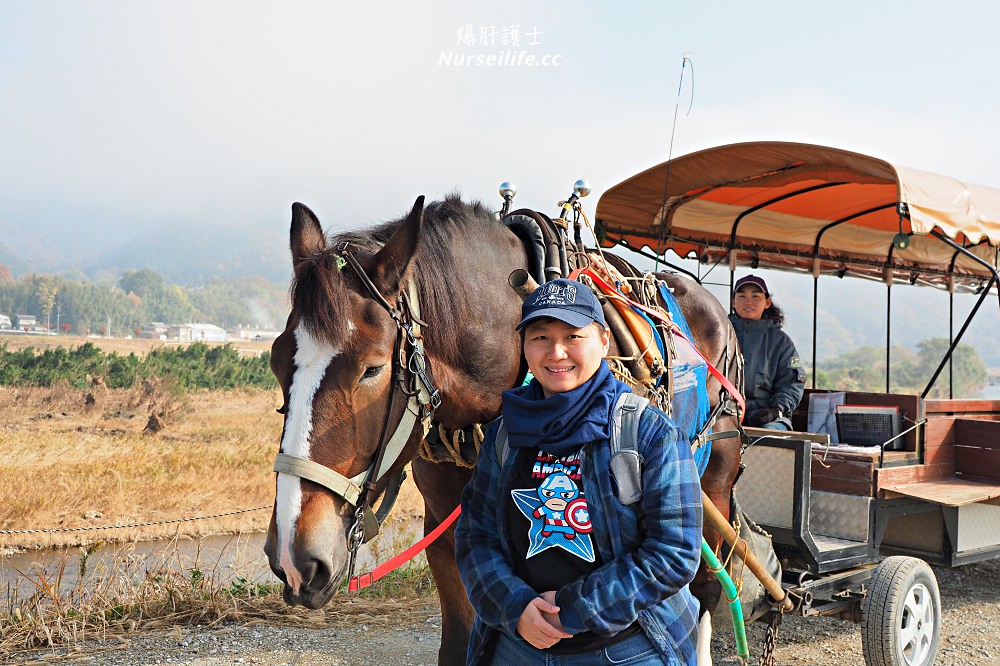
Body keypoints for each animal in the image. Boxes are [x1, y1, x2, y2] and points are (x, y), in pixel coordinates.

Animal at [262, 195, 748, 660]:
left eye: (372, 368)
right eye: (277, 361)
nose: (294, 557)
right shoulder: (448, 535)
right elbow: (462, 638)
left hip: (716, 472)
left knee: (707, 582)